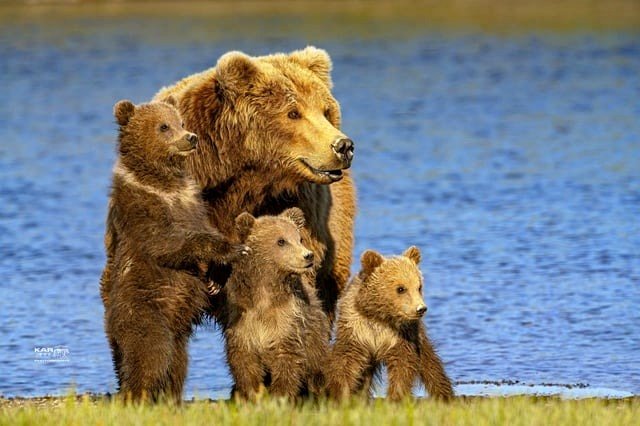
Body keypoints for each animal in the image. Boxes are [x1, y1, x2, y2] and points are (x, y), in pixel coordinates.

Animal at [100, 99, 247, 402]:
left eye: (180, 122)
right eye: (163, 126)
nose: (190, 138)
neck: (163, 181)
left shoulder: (193, 201)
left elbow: (202, 227)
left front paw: (215, 279)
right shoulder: (142, 208)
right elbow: (168, 242)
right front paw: (231, 249)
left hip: (177, 328)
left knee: (177, 362)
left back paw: (169, 395)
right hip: (144, 309)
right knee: (152, 354)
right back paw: (138, 393)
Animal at [218, 208, 330, 401]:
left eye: (299, 238)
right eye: (281, 241)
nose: (308, 255)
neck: (265, 294)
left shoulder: (288, 318)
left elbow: (287, 358)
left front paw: (280, 396)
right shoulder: (241, 317)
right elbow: (243, 360)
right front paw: (252, 393)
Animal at [325, 246, 454, 402]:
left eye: (419, 287)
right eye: (401, 288)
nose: (421, 309)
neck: (379, 317)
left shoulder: (400, 335)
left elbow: (403, 363)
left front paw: (395, 396)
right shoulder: (357, 329)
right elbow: (346, 360)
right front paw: (341, 393)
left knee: (430, 363)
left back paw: (444, 394)